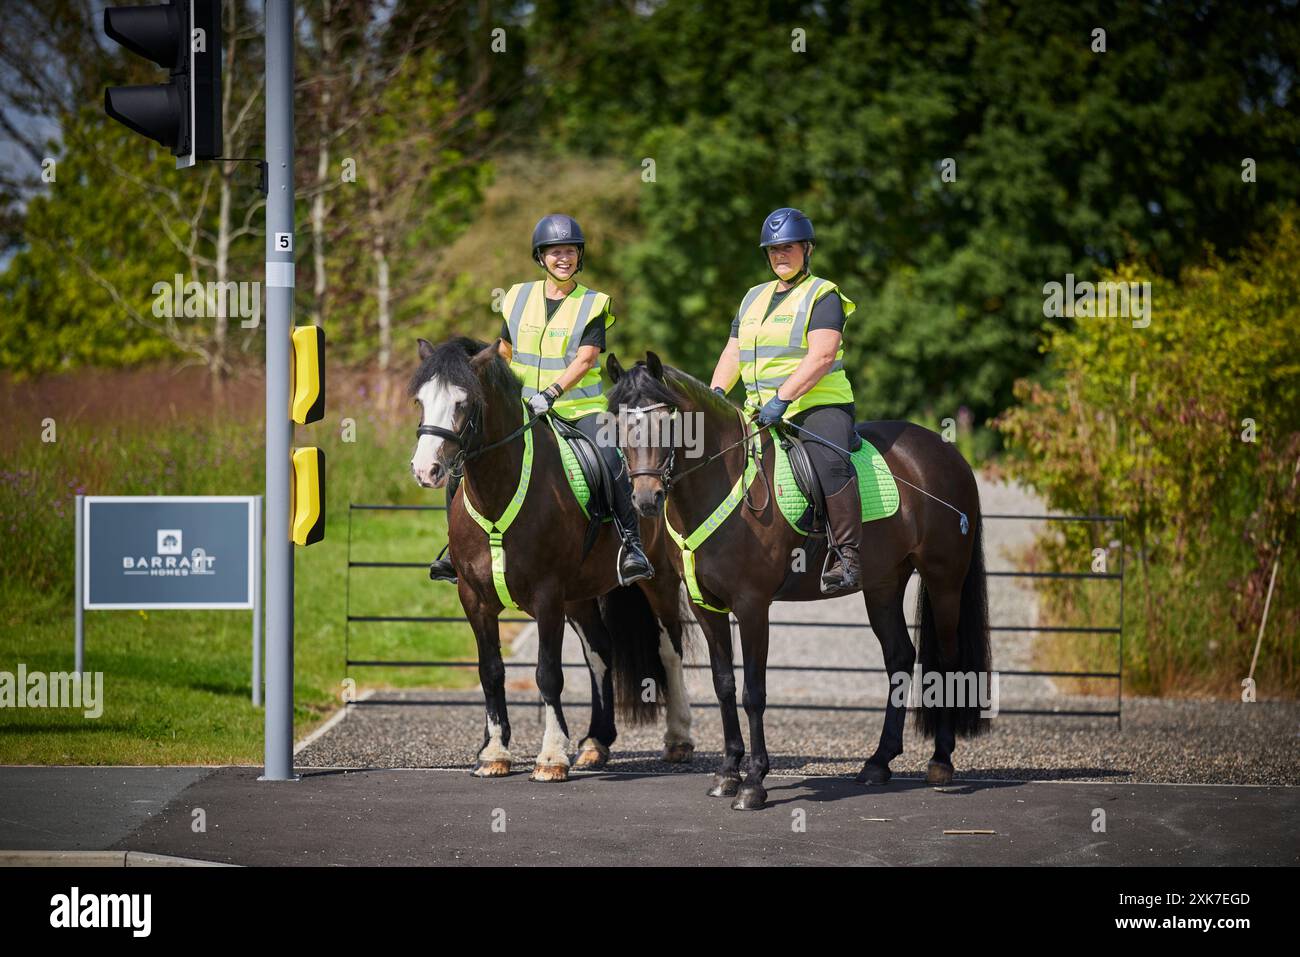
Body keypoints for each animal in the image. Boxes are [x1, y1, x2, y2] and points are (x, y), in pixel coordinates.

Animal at [408, 335, 696, 780]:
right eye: (421, 400)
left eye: (462, 402)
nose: (426, 470)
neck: (498, 494)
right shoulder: (474, 599)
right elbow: (491, 672)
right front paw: (494, 753)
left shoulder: (546, 598)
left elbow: (547, 674)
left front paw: (550, 757)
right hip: (579, 598)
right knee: (601, 654)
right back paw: (595, 742)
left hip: (658, 579)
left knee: (670, 649)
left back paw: (678, 738)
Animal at [603, 348, 987, 806]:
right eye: (617, 423)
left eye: (668, 420)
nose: (646, 498)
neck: (723, 482)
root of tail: (948, 454)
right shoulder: (706, 607)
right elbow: (724, 685)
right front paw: (728, 772)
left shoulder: (753, 606)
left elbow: (753, 692)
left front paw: (753, 783)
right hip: (883, 585)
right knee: (899, 656)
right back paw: (878, 763)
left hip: (944, 579)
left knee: (947, 661)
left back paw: (941, 761)